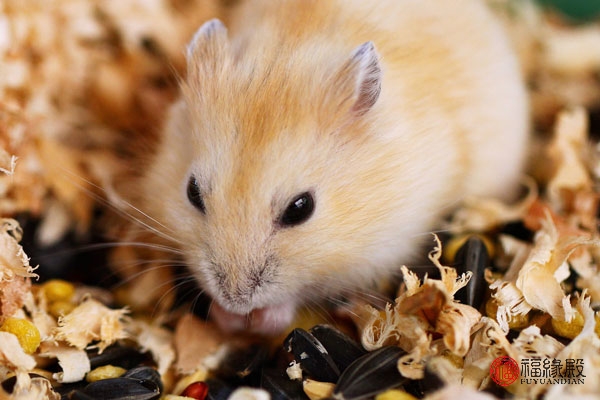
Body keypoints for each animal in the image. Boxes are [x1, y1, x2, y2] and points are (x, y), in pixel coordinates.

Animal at [141, 0, 529, 334]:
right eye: (192, 192)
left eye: (301, 208)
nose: (236, 302)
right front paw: (228, 319)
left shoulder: (381, 250)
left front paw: (260, 319)